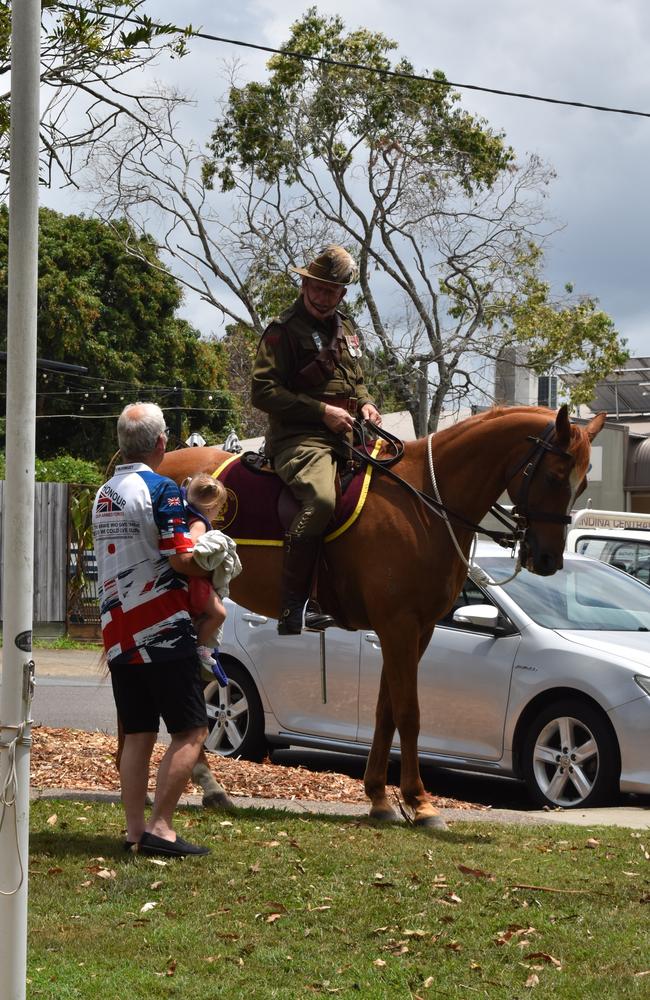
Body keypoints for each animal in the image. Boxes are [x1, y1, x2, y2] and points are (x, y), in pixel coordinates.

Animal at [159, 404, 604, 828]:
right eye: (554, 477)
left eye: (582, 484)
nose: (547, 560)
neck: (424, 503)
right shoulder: (398, 626)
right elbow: (409, 713)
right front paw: (420, 803)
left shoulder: (417, 630)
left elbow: (386, 711)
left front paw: (379, 797)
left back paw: (209, 785)